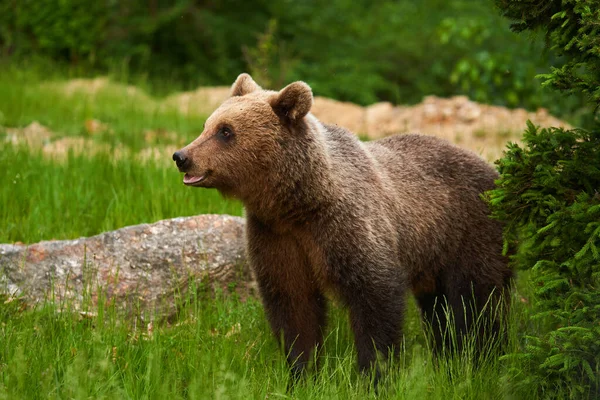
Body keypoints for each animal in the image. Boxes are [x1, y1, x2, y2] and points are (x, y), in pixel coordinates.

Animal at [172, 72, 510, 382]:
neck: (297, 203)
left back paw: (482, 355)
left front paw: (373, 374)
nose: (182, 156)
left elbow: (375, 298)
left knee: (477, 302)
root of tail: (493, 170)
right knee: (440, 308)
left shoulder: (347, 226)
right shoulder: (275, 236)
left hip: (470, 232)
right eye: (207, 125)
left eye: (225, 131)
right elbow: (292, 304)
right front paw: (302, 372)